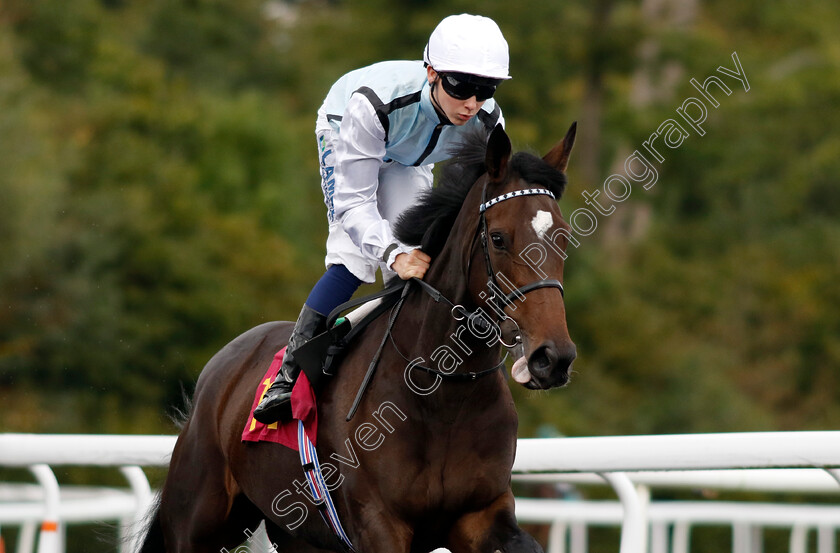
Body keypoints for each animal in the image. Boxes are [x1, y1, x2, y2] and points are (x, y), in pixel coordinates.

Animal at [141, 123, 580, 552]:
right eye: (499, 239)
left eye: (563, 237)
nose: (553, 357)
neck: (442, 395)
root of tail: (220, 368)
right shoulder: (378, 523)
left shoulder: (482, 513)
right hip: (196, 521)